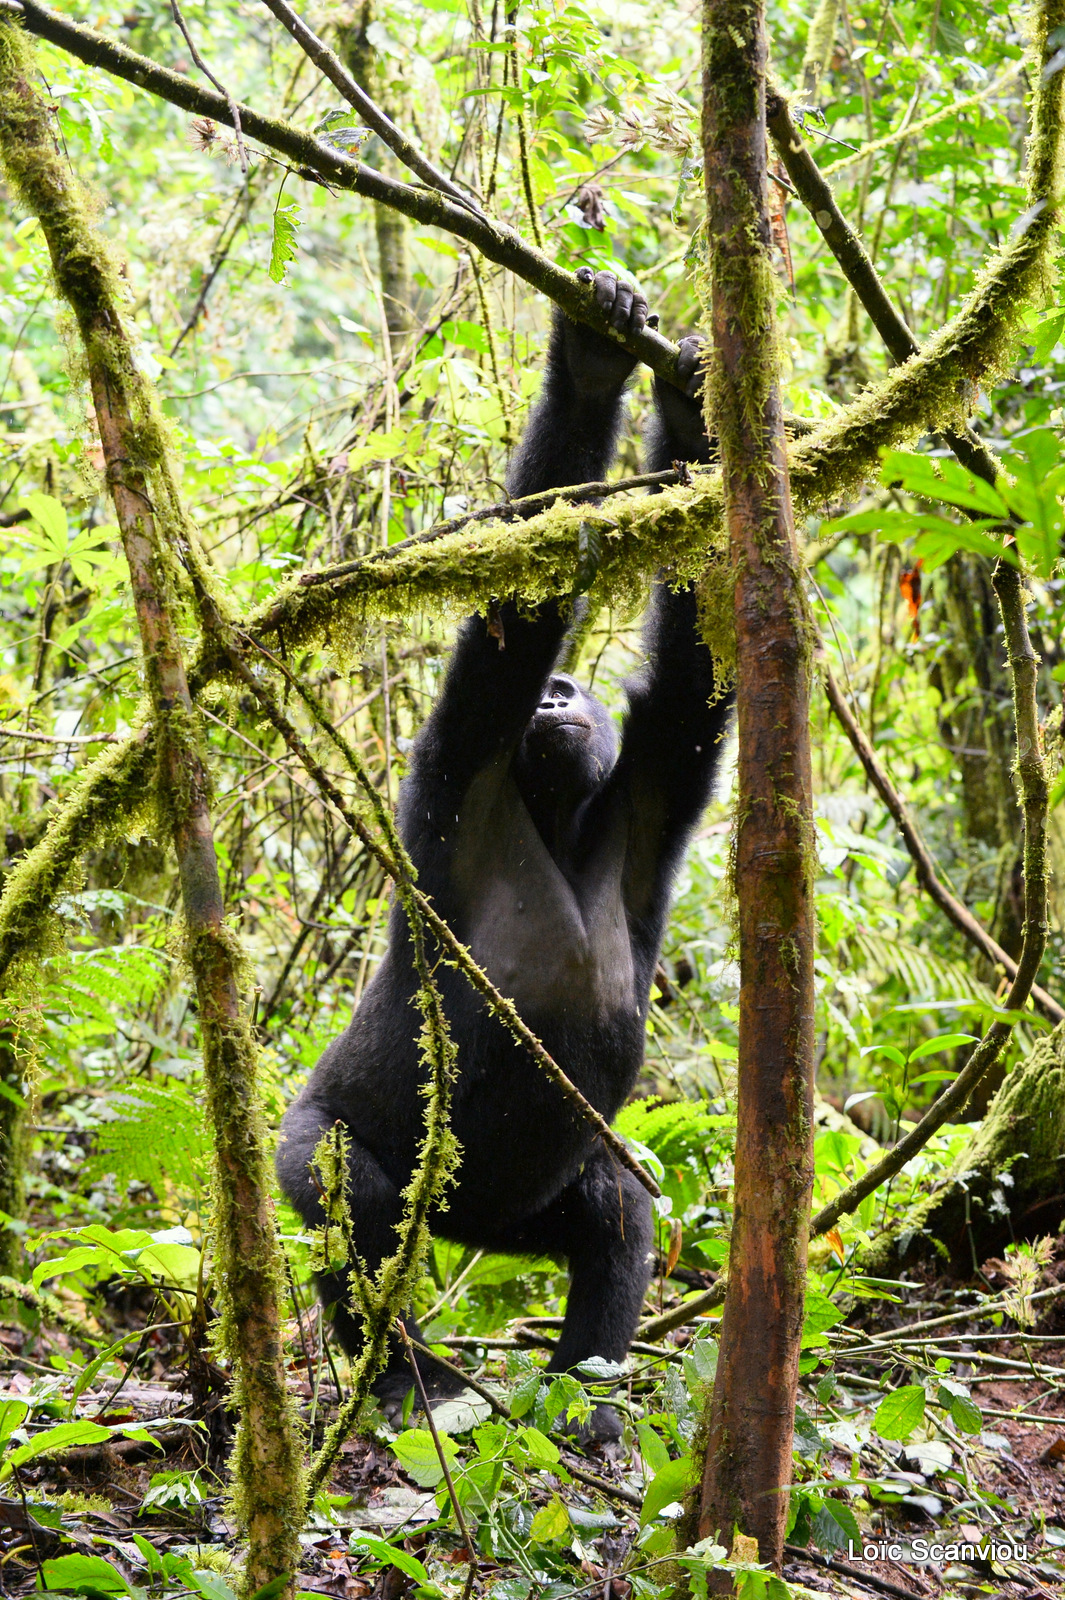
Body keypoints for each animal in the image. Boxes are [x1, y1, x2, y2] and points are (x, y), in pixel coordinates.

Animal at [278, 265, 729, 1440]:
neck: (562, 824)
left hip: (515, 1213)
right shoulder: (465, 760)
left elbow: (694, 661)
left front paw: (687, 410)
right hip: (329, 1137)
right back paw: (402, 1379)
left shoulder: (652, 790)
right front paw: (588, 362)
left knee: (612, 1212)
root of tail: (461, 1224)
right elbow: (515, 598)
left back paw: (587, 1393)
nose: (561, 698)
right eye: (549, 690)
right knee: (350, 1194)